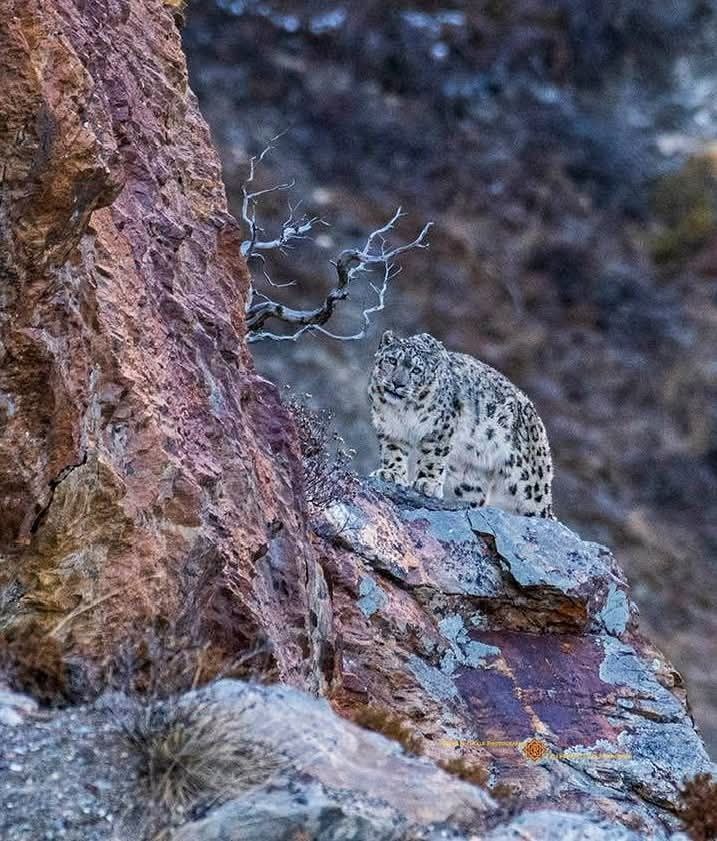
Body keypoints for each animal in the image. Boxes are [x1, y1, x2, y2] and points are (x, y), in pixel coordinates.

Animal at [368, 331, 554, 518]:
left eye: (416, 370)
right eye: (392, 360)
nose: (397, 383)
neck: (401, 411)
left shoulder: (439, 429)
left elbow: (432, 457)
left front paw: (427, 483)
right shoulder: (391, 429)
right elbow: (393, 452)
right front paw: (391, 474)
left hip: (528, 482)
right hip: (470, 477)